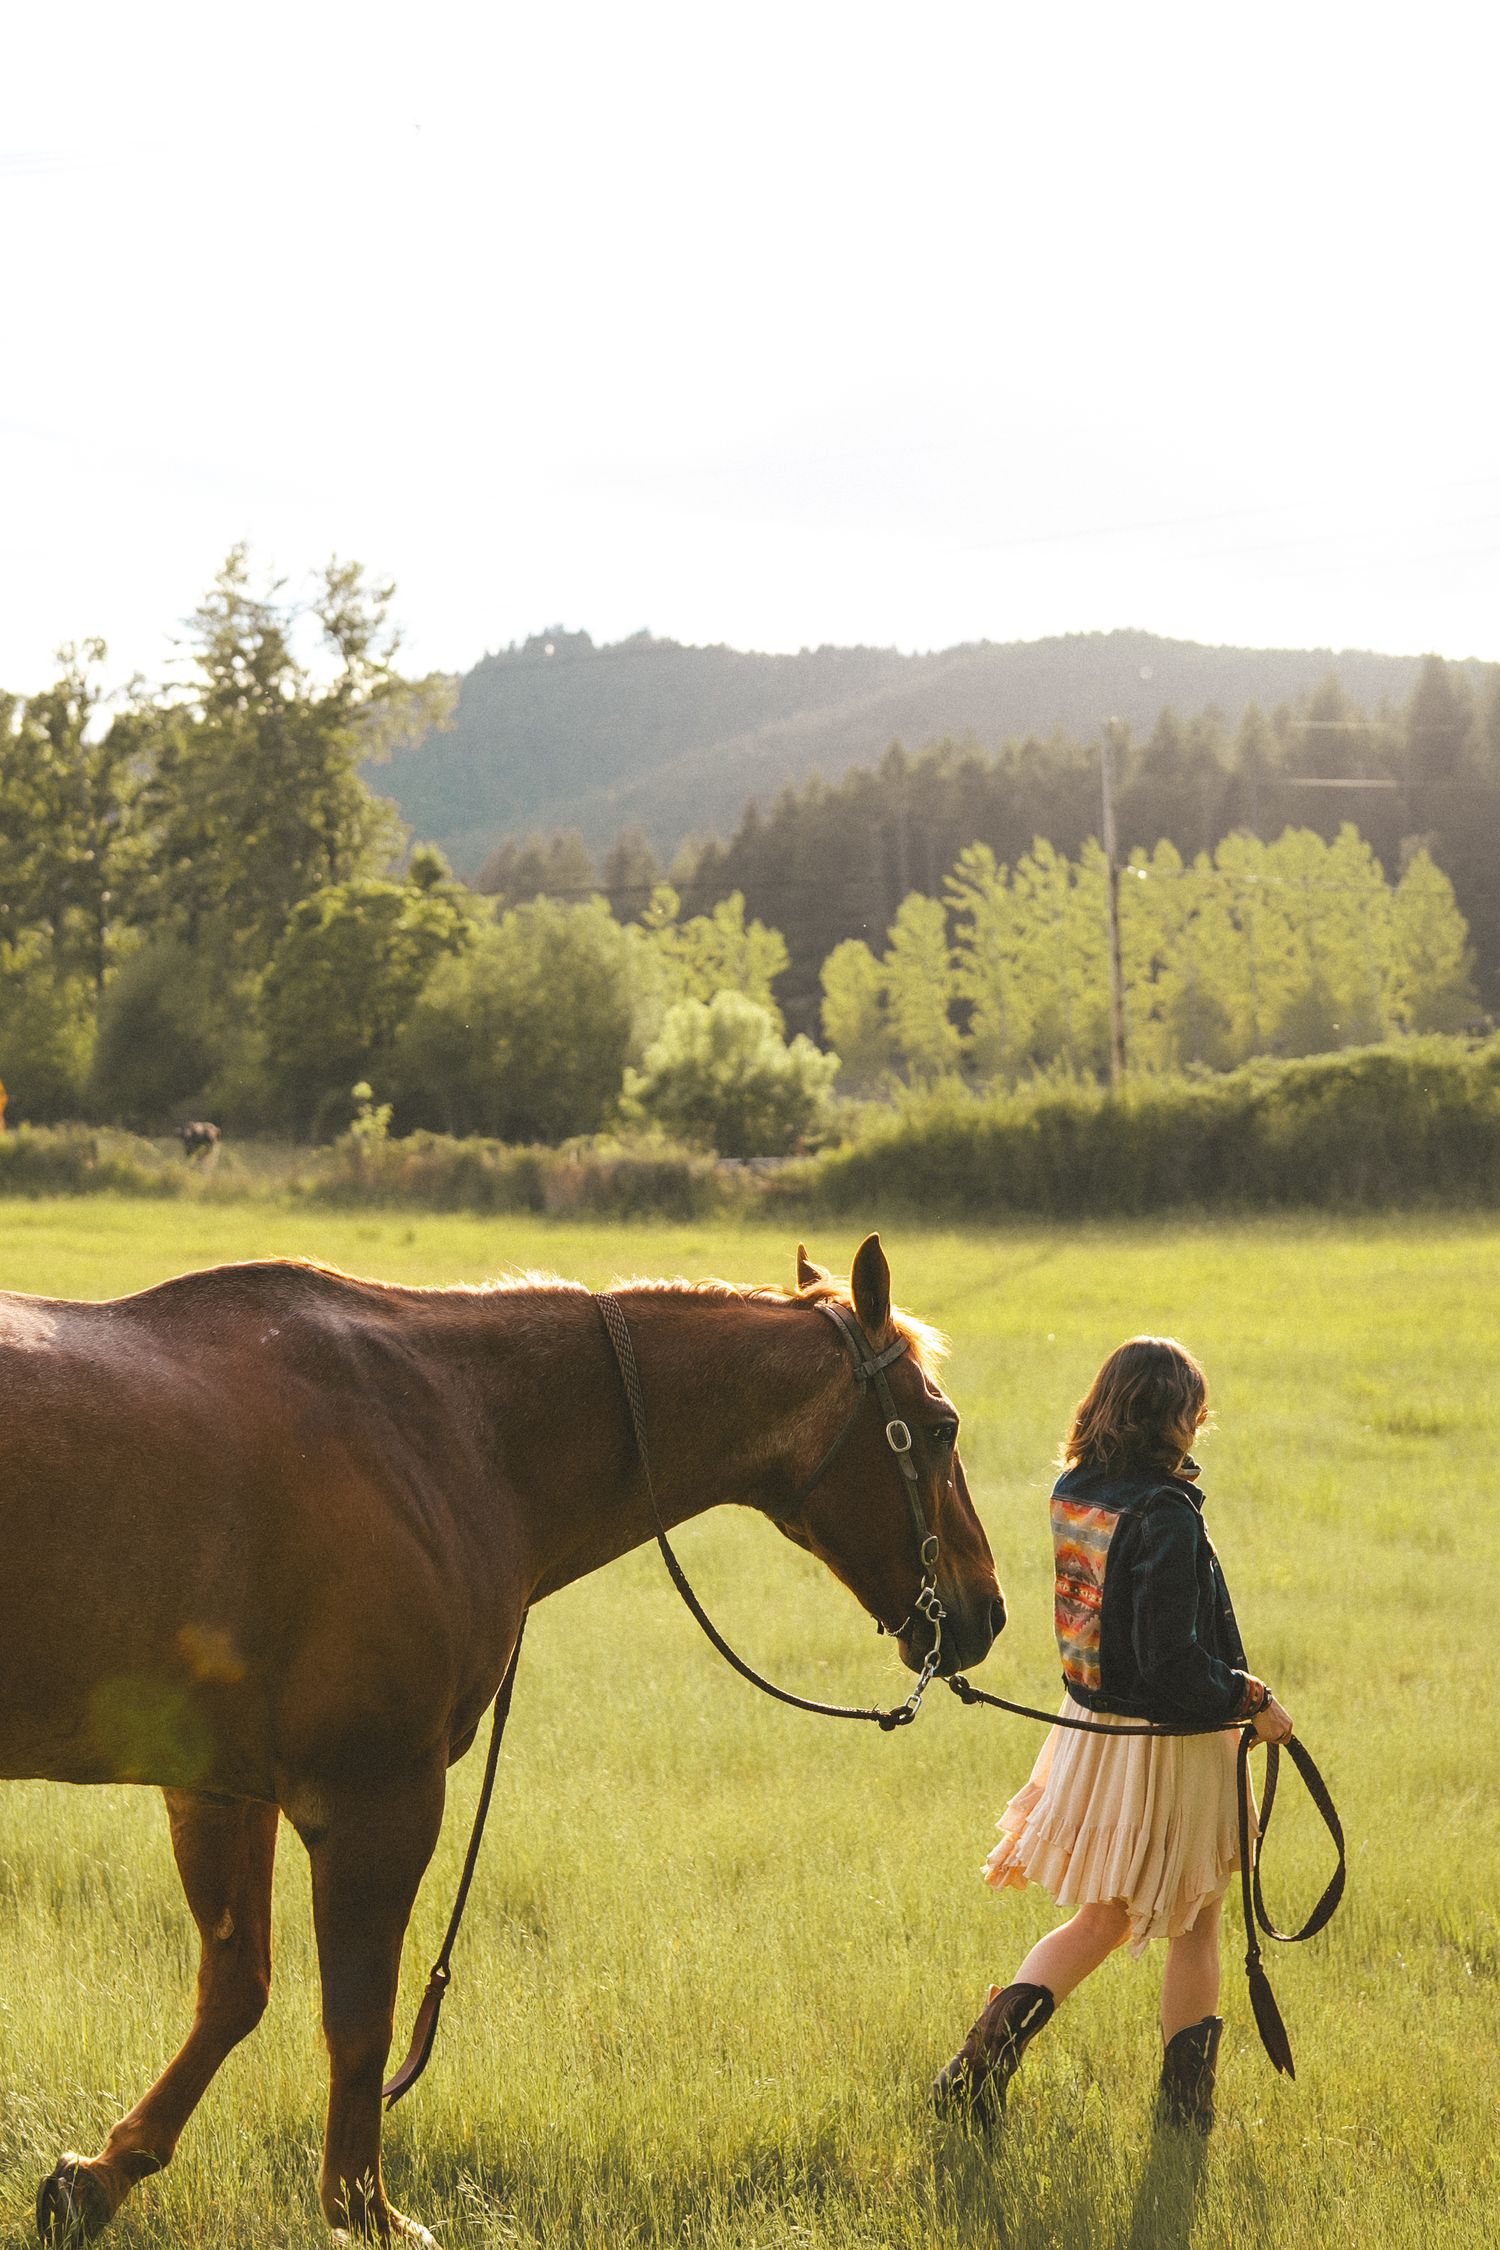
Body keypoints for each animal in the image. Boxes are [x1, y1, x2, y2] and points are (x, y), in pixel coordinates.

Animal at [0, 1231, 1004, 2244]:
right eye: (941, 1425)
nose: (987, 1611)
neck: (450, 1432)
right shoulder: (376, 1800)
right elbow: (359, 2023)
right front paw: (364, 2207)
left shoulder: (219, 1788)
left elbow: (235, 1991)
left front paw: (100, 2178)